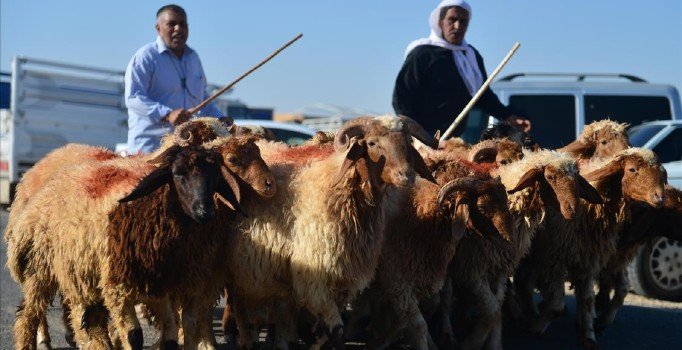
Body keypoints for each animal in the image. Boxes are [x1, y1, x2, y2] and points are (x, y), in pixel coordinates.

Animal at [516, 148, 664, 350]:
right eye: (632, 169)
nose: (660, 198)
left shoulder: (590, 260)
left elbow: (589, 300)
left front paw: (589, 334)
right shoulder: (554, 259)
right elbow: (556, 304)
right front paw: (537, 328)